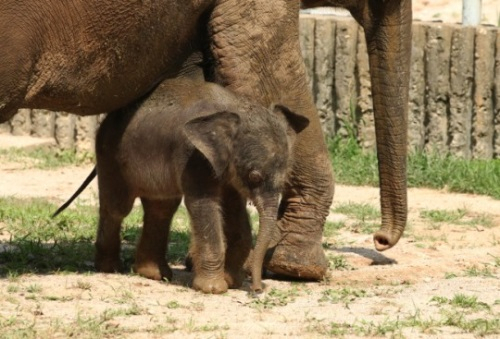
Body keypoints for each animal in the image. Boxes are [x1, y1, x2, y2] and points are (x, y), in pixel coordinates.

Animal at [92, 78, 306, 294]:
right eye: (254, 177)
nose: (257, 289)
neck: (234, 107)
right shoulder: (194, 156)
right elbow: (205, 205)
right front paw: (214, 289)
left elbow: (233, 207)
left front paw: (231, 282)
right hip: (109, 155)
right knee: (118, 208)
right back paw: (110, 268)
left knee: (161, 209)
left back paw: (154, 274)